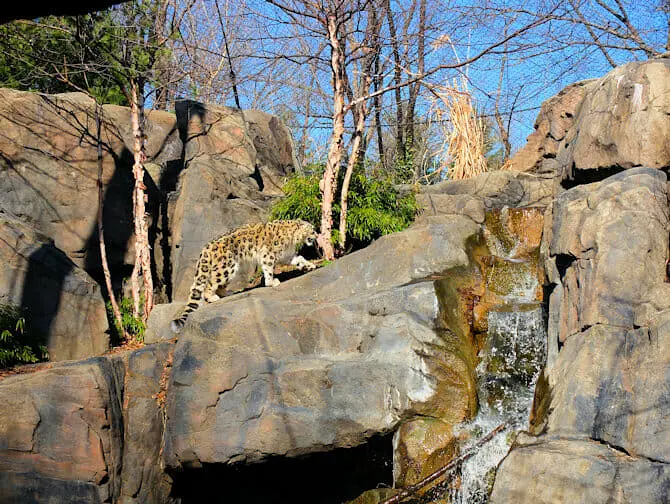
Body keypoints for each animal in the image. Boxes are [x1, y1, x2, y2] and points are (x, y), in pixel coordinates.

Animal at [171, 219, 318, 333]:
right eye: (312, 230)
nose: (317, 236)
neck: (292, 239)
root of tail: (206, 248)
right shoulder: (269, 255)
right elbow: (268, 268)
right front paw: (272, 282)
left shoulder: (288, 256)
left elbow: (300, 260)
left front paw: (311, 266)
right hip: (226, 267)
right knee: (210, 284)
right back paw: (212, 298)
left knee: (219, 285)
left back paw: (227, 293)